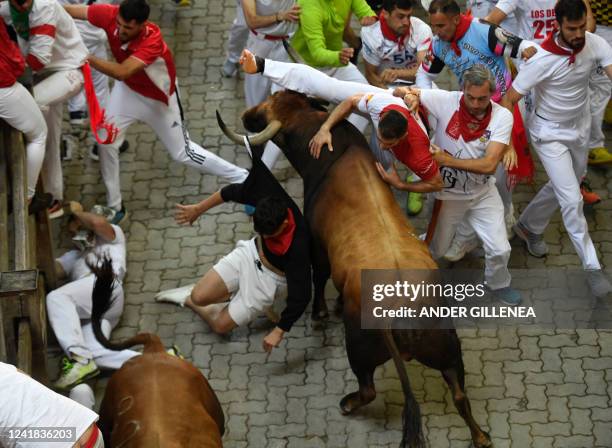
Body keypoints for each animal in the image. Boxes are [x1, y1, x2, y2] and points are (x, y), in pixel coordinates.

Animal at [219, 92, 492, 448]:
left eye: (268, 108)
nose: (247, 115)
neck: (336, 152)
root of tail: (404, 312)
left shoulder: (317, 245)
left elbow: (319, 277)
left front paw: (321, 312)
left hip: (360, 349)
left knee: (368, 389)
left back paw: (347, 403)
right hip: (447, 348)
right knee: (459, 393)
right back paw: (480, 436)